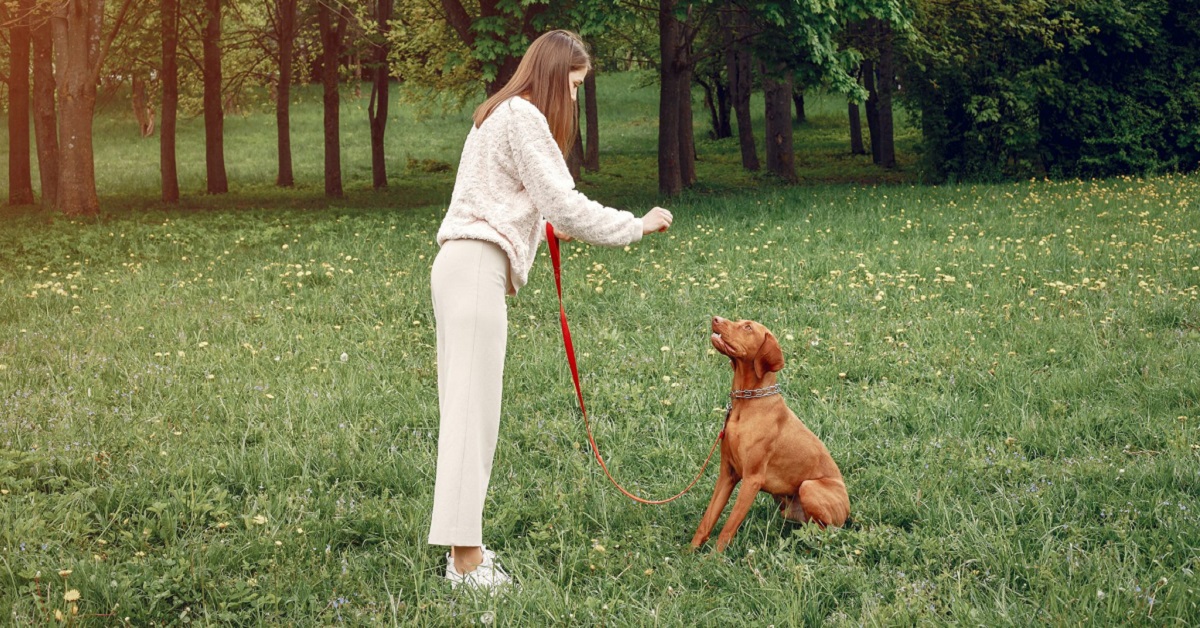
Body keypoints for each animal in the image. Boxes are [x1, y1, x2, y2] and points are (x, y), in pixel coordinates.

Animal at [691, 317, 849, 552]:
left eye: (747, 327)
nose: (716, 318)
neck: (747, 405)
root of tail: (848, 511)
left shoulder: (752, 479)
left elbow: (727, 529)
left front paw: (713, 559)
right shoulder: (727, 473)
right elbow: (707, 520)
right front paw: (690, 553)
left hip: (809, 487)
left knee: (827, 532)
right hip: (787, 507)